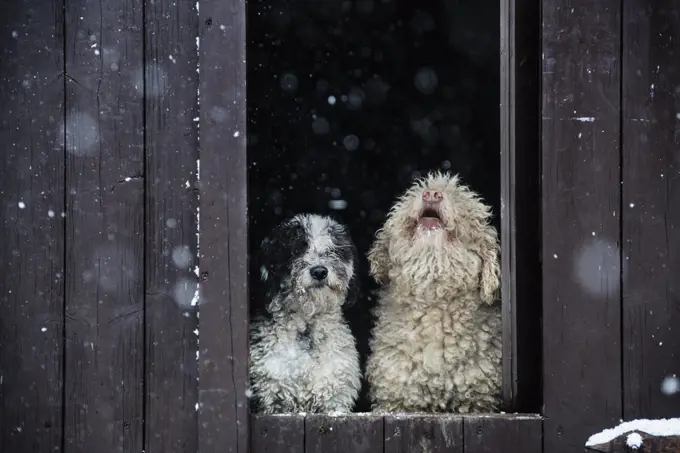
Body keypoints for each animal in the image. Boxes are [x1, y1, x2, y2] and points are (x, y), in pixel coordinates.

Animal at [248, 214, 362, 412]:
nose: (320, 271)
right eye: (296, 250)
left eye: (333, 249)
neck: (306, 329)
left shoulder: (335, 400)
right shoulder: (272, 398)